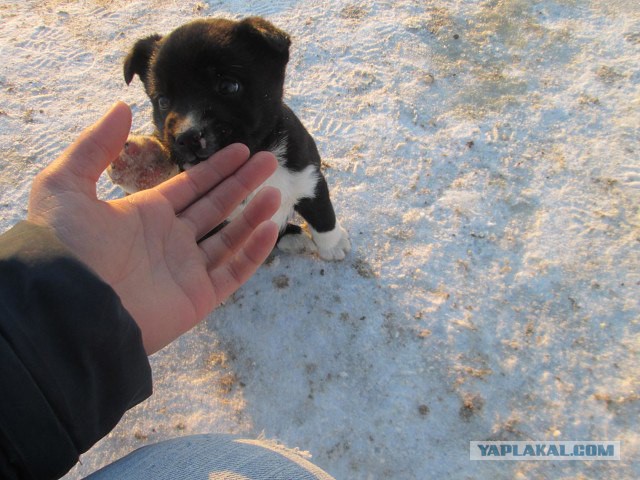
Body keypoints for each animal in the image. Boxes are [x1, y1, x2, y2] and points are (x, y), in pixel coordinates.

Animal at [124, 17, 350, 258]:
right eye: (163, 101)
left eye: (228, 86)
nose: (187, 137)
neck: (254, 155)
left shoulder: (307, 173)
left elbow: (322, 212)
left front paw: (333, 244)